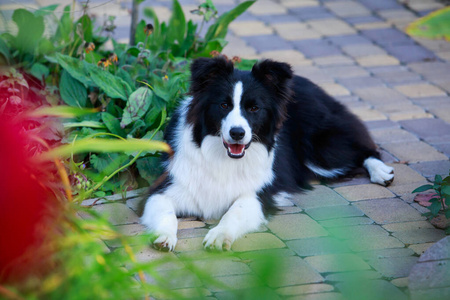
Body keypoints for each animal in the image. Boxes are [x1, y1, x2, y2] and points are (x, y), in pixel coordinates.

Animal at [142, 56, 394, 251]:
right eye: (224, 105)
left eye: (254, 108)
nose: (237, 133)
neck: (222, 158)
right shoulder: (163, 188)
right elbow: (166, 212)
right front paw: (164, 236)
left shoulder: (258, 194)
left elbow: (235, 211)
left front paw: (219, 235)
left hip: (324, 151)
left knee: (365, 148)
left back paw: (381, 171)